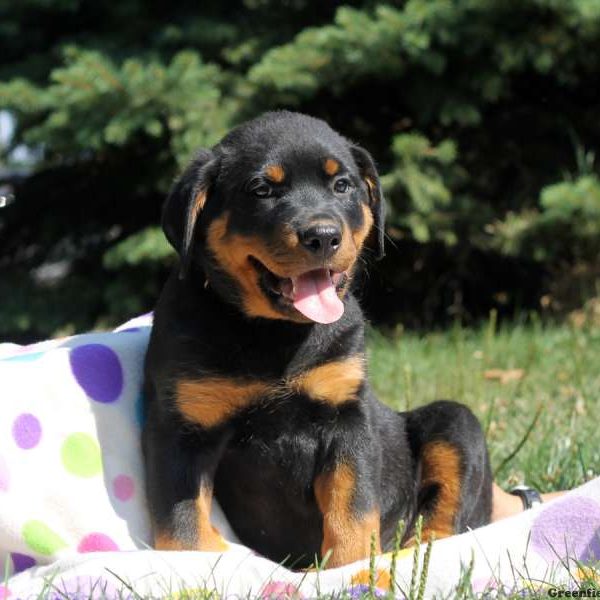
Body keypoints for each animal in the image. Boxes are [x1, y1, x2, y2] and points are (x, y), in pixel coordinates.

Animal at [142, 111, 492, 568]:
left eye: (342, 186)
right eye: (262, 190)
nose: (323, 236)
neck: (274, 334)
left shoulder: (345, 414)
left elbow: (352, 507)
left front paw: (352, 568)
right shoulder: (181, 425)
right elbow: (181, 522)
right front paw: (194, 564)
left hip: (456, 423)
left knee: (446, 517)